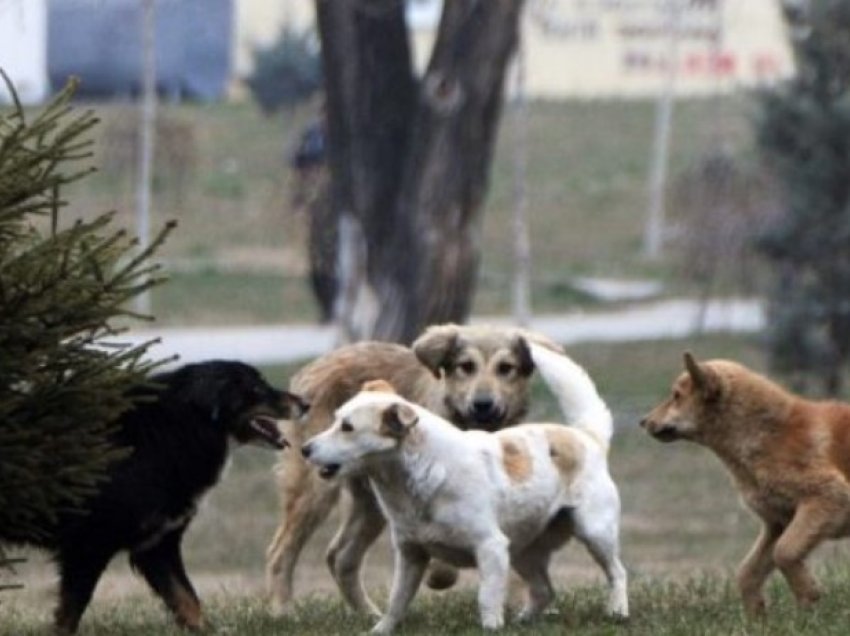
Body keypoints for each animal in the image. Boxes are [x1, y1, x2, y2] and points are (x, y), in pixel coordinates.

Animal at [29, 360, 308, 632]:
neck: (171, 430)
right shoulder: (87, 545)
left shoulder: (156, 545)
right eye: (257, 387)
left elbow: (187, 600)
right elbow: (70, 614)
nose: (306, 404)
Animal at [264, 326, 556, 612]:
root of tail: (315, 365)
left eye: (506, 368)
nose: (483, 404)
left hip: (370, 504)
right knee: (281, 552)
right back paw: (284, 611)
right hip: (315, 491)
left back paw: (369, 614)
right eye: (466, 366)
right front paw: (440, 574)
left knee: (340, 557)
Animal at [302, 346, 628, 632]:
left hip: (594, 532)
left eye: (347, 427)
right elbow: (397, 601)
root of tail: (587, 436)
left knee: (617, 572)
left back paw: (617, 611)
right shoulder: (410, 555)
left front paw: (491, 628)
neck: (421, 475)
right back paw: (524, 621)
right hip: (523, 552)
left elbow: (487, 598)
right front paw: (380, 630)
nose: (305, 449)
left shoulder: (491, 548)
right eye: (335, 420)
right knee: (544, 591)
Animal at [640, 352, 848, 616]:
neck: (766, 434)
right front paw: (756, 616)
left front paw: (808, 597)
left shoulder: (829, 496)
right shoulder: (777, 524)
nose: (642, 421)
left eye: (676, 396)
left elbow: (785, 552)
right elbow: (747, 573)